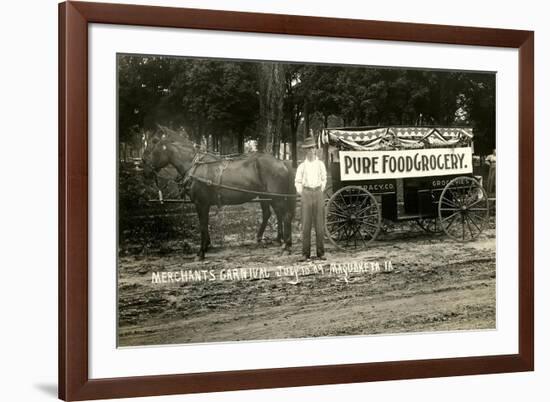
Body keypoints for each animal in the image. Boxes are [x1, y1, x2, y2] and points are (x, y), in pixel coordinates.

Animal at [144, 135, 296, 260]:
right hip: (268, 197)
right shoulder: (203, 204)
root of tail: (282, 162)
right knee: (273, 214)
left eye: (152, 150)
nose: (142, 167)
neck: (195, 166)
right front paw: (206, 246)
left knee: (285, 216)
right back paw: (277, 240)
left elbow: (203, 225)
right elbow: (205, 224)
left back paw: (286, 246)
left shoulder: (201, 203)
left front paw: (201, 252)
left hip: (277, 197)